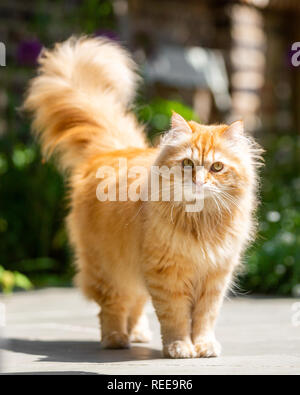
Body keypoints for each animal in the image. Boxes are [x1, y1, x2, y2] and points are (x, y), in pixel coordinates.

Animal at [24, 37, 262, 358]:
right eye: (188, 164)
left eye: (216, 167)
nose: (199, 181)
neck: (200, 221)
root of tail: (111, 151)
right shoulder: (167, 274)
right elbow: (175, 316)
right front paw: (179, 347)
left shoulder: (214, 277)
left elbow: (204, 318)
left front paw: (203, 345)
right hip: (108, 268)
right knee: (112, 306)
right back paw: (116, 339)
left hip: (133, 269)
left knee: (134, 303)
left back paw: (136, 334)